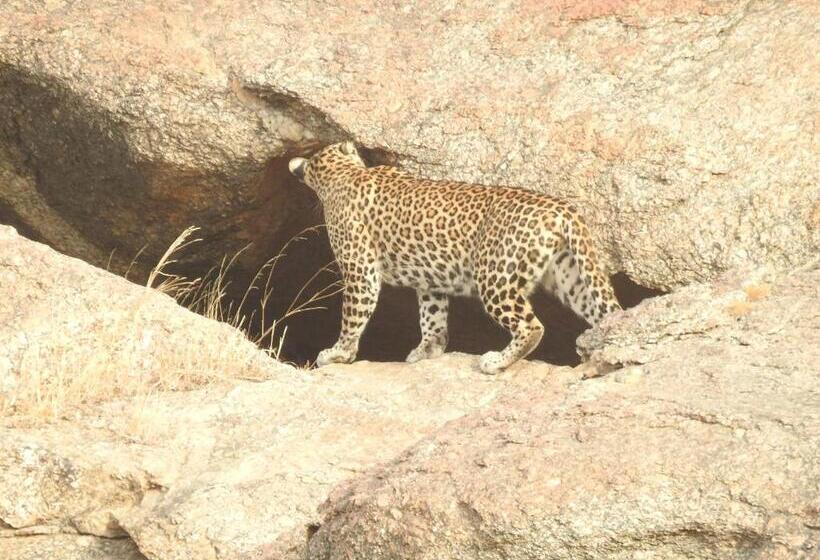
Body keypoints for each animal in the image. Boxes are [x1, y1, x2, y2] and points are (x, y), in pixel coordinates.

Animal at [288, 141, 622, 374]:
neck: (344, 171)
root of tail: (561, 208)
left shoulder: (361, 272)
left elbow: (353, 316)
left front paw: (338, 353)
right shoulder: (430, 280)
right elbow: (432, 317)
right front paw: (428, 350)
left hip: (495, 277)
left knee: (531, 326)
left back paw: (496, 361)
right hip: (570, 275)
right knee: (604, 313)